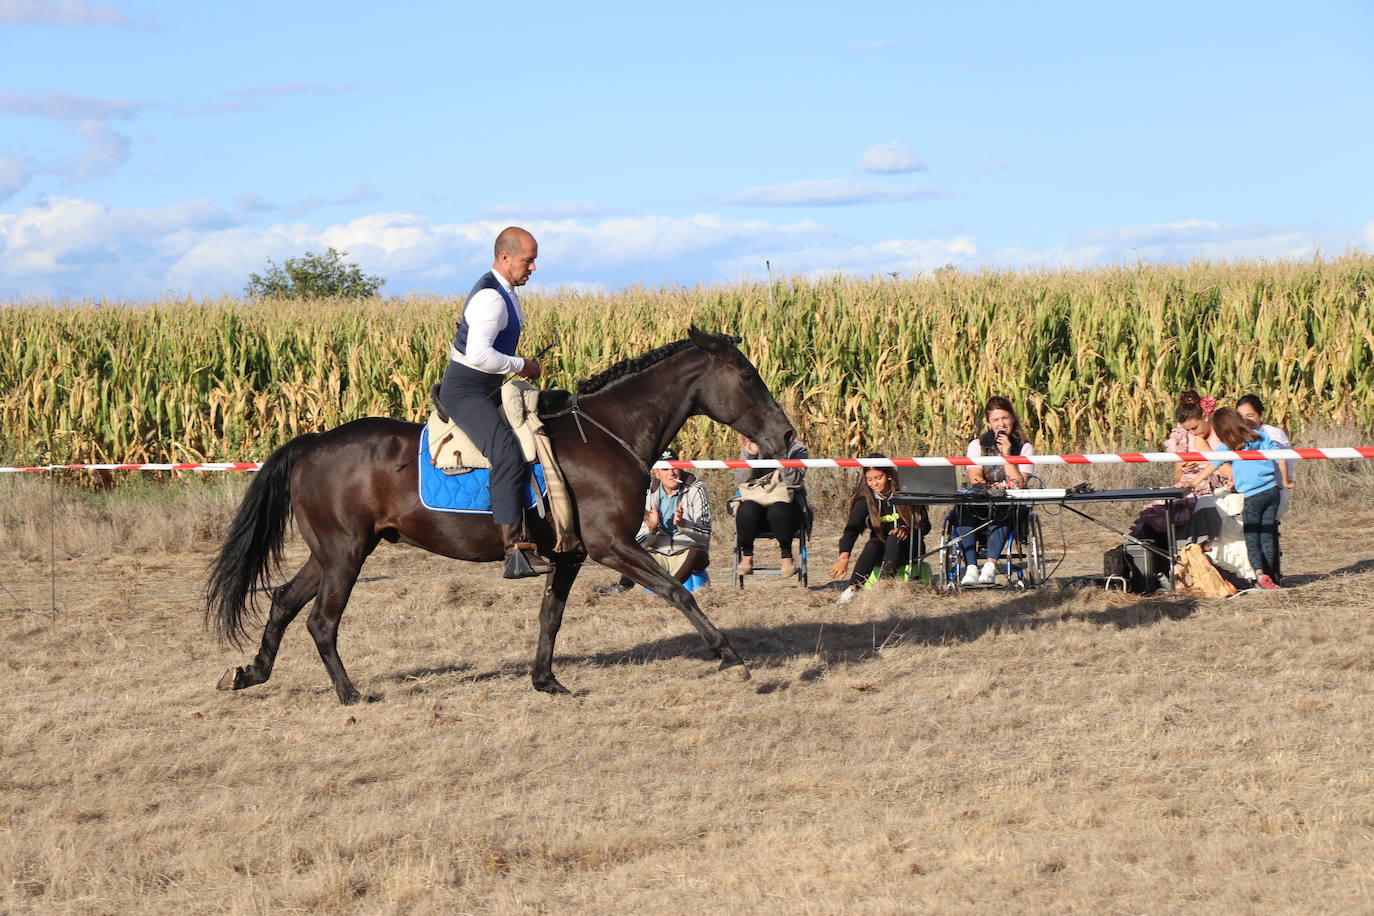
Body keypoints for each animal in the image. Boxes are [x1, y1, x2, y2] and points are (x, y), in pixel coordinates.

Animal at [208, 328, 802, 703]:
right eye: (748, 377)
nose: (788, 437)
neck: (608, 434)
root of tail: (311, 444)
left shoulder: (571, 554)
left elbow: (550, 616)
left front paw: (546, 681)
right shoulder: (612, 545)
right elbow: (678, 592)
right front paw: (731, 657)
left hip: (334, 552)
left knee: (284, 601)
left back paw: (249, 674)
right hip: (345, 554)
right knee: (321, 621)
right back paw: (349, 693)